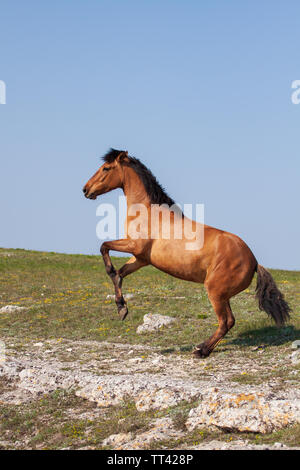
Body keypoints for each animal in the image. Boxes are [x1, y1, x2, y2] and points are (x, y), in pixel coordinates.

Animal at [82, 149, 290, 358]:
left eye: (106, 168)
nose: (85, 190)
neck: (148, 213)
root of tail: (254, 261)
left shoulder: (134, 246)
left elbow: (104, 248)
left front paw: (120, 302)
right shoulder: (141, 259)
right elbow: (120, 274)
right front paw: (121, 308)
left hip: (215, 292)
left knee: (226, 322)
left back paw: (201, 350)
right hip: (223, 295)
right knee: (228, 321)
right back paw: (203, 348)